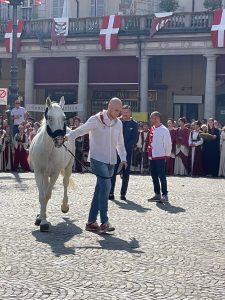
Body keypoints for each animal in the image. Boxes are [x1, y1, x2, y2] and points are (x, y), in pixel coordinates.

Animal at [28, 97, 74, 231]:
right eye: (49, 117)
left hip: (68, 167)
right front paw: (41, 219)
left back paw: (64, 206)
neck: (48, 149)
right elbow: (42, 196)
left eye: (64, 117)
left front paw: (44, 221)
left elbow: (47, 195)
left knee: (65, 183)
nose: (59, 140)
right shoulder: (38, 173)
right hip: (44, 174)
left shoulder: (55, 174)